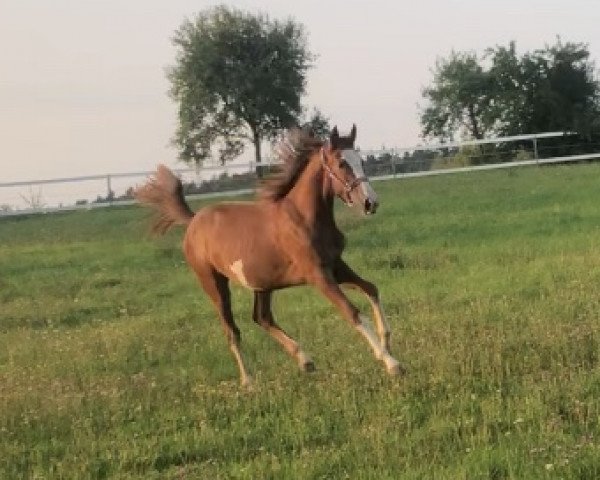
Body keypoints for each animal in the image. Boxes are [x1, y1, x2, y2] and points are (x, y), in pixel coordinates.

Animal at [136, 125, 404, 384]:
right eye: (341, 163)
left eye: (360, 160)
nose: (370, 203)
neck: (304, 218)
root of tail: (193, 220)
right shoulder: (318, 275)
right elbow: (352, 312)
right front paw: (391, 363)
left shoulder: (336, 265)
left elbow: (371, 288)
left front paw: (387, 341)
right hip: (213, 282)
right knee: (232, 330)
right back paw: (248, 382)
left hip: (262, 284)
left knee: (262, 317)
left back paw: (305, 361)